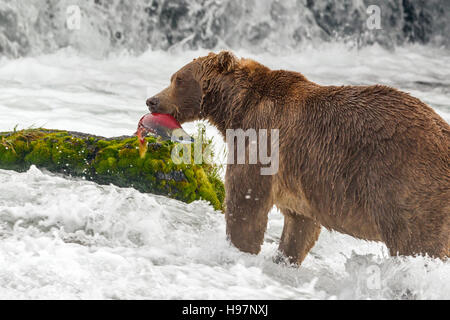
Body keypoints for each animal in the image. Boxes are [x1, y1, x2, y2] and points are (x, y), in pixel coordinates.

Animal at [148, 50, 450, 264]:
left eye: (178, 79)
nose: (152, 100)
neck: (235, 108)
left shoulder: (263, 140)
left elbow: (246, 201)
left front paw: (238, 248)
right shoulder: (302, 185)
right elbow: (300, 227)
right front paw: (283, 258)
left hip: (406, 184)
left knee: (416, 242)